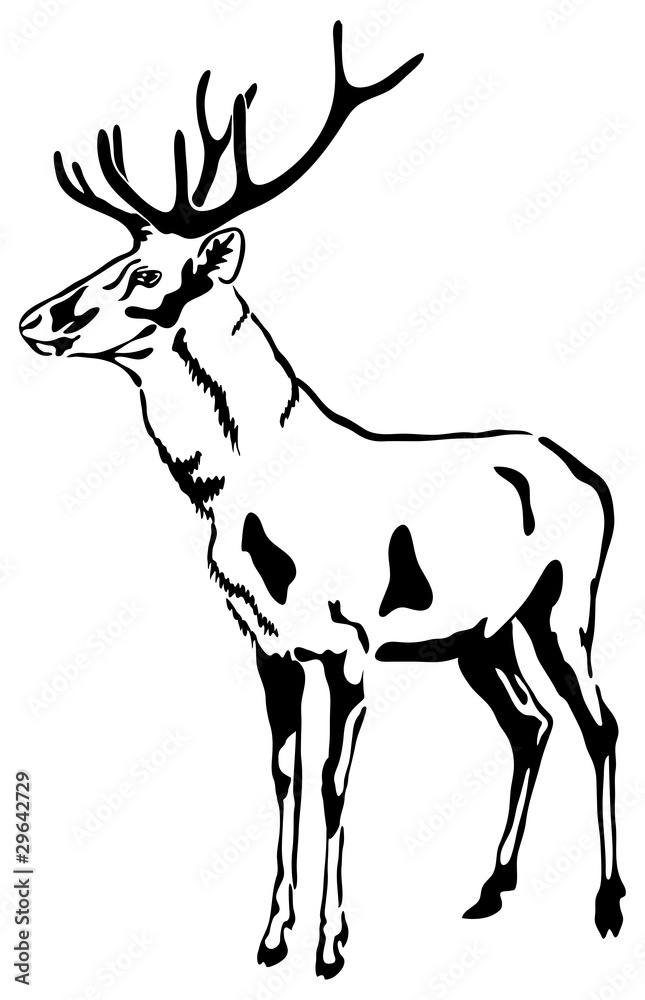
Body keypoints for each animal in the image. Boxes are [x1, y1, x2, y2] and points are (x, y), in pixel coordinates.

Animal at [19, 21, 625, 979]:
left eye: (149, 273)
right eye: (111, 256)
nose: (37, 319)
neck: (245, 490)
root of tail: (593, 479)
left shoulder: (350, 640)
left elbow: (336, 783)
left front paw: (333, 945)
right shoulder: (268, 643)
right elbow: (283, 776)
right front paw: (271, 937)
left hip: (565, 602)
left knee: (598, 721)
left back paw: (605, 905)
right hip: (482, 635)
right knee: (528, 725)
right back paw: (489, 889)